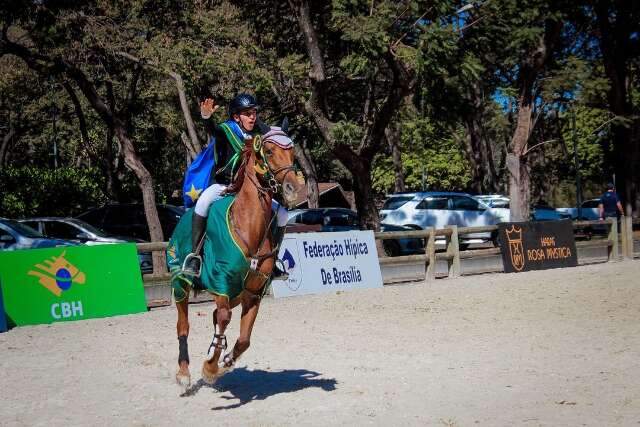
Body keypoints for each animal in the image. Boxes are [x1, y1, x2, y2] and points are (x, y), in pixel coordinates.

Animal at [166, 129, 304, 386]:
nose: (294, 188)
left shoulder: (253, 293)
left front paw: (225, 361)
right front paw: (211, 365)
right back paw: (184, 373)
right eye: (268, 151)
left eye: (291, 150)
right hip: (180, 282)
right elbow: (223, 317)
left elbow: (244, 338)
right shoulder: (221, 282)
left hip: (236, 294)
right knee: (184, 325)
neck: (248, 226)